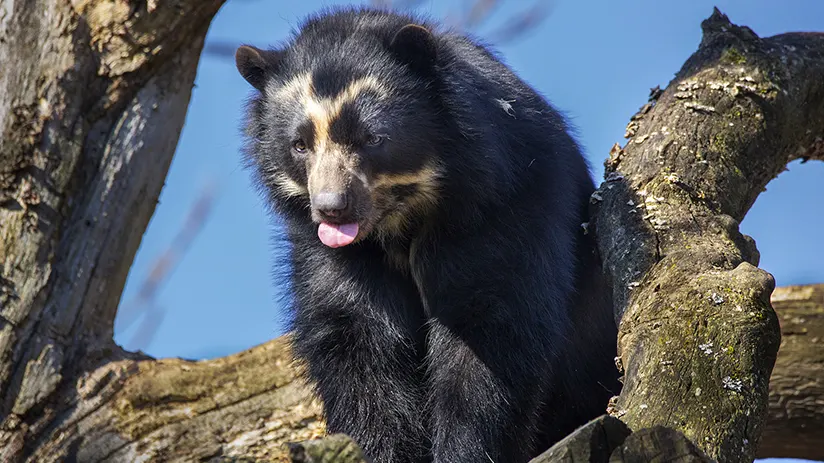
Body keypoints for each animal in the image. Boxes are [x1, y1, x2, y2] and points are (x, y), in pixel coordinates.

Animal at [235, 7, 620, 463]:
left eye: (373, 138)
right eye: (299, 144)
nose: (332, 207)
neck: (401, 219)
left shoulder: (503, 206)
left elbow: (489, 331)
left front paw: (467, 449)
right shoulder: (333, 255)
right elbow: (357, 340)